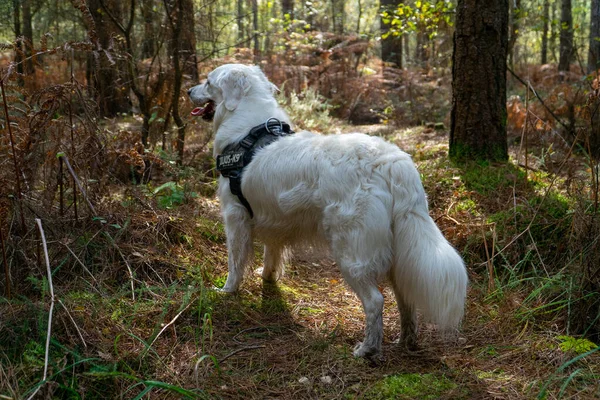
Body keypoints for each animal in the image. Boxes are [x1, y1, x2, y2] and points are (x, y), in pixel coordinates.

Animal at [188, 63, 468, 360]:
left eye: (208, 82)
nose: (188, 91)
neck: (247, 127)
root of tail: (390, 161)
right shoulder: (273, 221)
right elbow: (271, 255)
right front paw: (267, 278)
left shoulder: (235, 215)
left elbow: (235, 261)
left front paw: (227, 290)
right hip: (398, 250)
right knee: (405, 297)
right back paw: (406, 340)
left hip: (351, 252)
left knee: (375, 301)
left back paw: (367, 348)